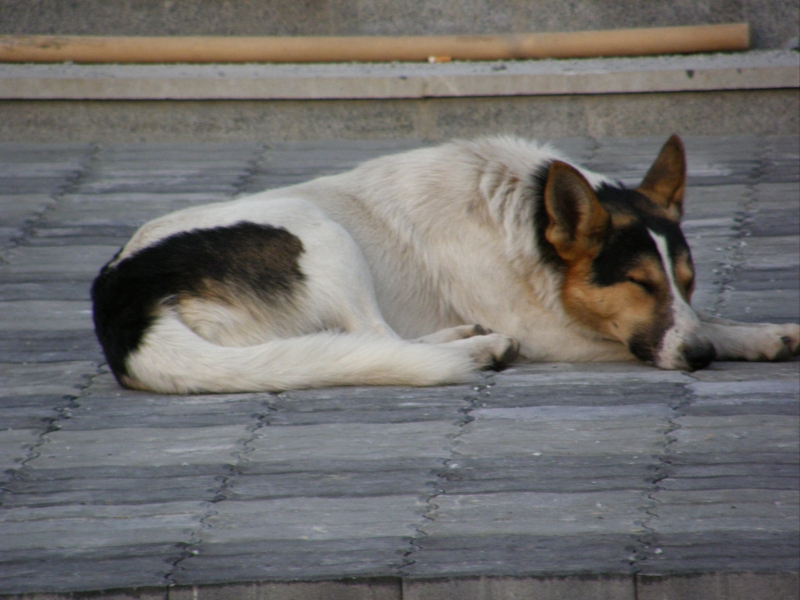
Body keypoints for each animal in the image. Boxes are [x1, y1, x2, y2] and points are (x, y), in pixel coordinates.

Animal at [91, 135, 800, 394]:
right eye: (638, 284)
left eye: (685, 282)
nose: (698, 358)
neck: (520, 213)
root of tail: (121, 304)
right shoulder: (553, 334)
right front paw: (742, 337)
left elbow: (711, 319)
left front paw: (762, 333)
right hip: (320, 233)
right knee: (378, 339)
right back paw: (477, 347)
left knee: (374, 341)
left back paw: (466, 338)